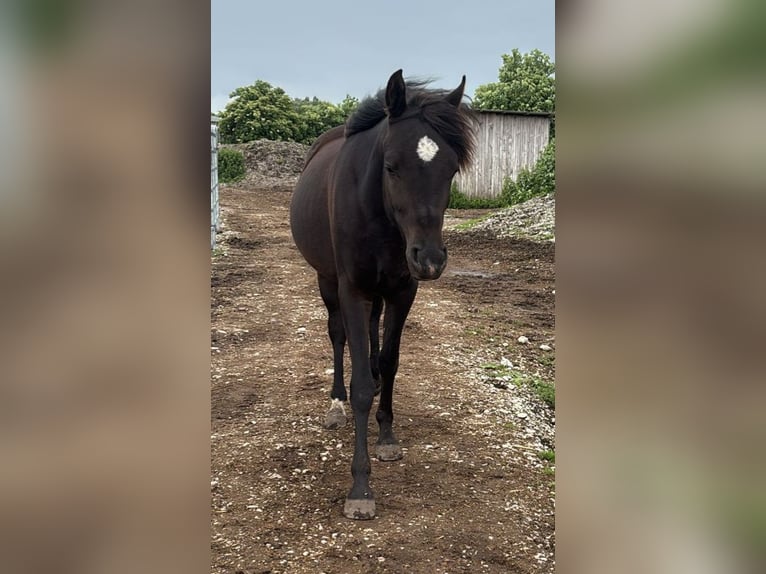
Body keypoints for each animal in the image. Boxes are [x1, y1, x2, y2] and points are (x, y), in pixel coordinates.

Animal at [289, 70, 475, 519]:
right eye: (391, 166)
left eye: (450, 170)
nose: (430, 259)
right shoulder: (352, 290)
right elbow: (357, 381)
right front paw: (360, 487)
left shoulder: (403, 290)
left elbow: (390, 361)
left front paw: (387, 435)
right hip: (327, 281)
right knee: (338, 336)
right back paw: (335, 405)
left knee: (373, 333)